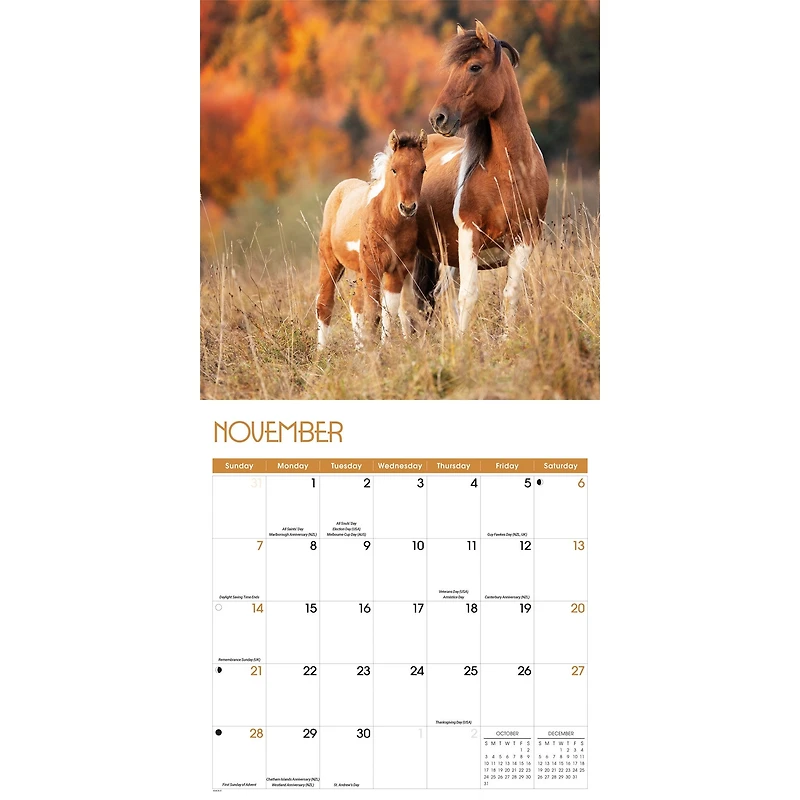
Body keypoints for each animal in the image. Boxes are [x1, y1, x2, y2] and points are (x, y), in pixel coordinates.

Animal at [315, 130, 428, 349]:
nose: (408, 207)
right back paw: (321, 351)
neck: (390, 222)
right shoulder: (373, 265)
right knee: (325, 303)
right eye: (394, 169)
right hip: (330, 261)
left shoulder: (398, 267)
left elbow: (388, 308)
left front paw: (385, 347)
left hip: (360, 270)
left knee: (356, 304)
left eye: (422, 169)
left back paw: (360, 347)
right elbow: (374, 309)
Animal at [414, 20, 549, 336]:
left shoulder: (526, 237)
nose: (438, 117)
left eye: (474, 67)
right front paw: (462, 342)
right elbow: (469, 295)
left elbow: (511, 293)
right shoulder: (469, 234)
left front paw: (508, 339)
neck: (510, 173)